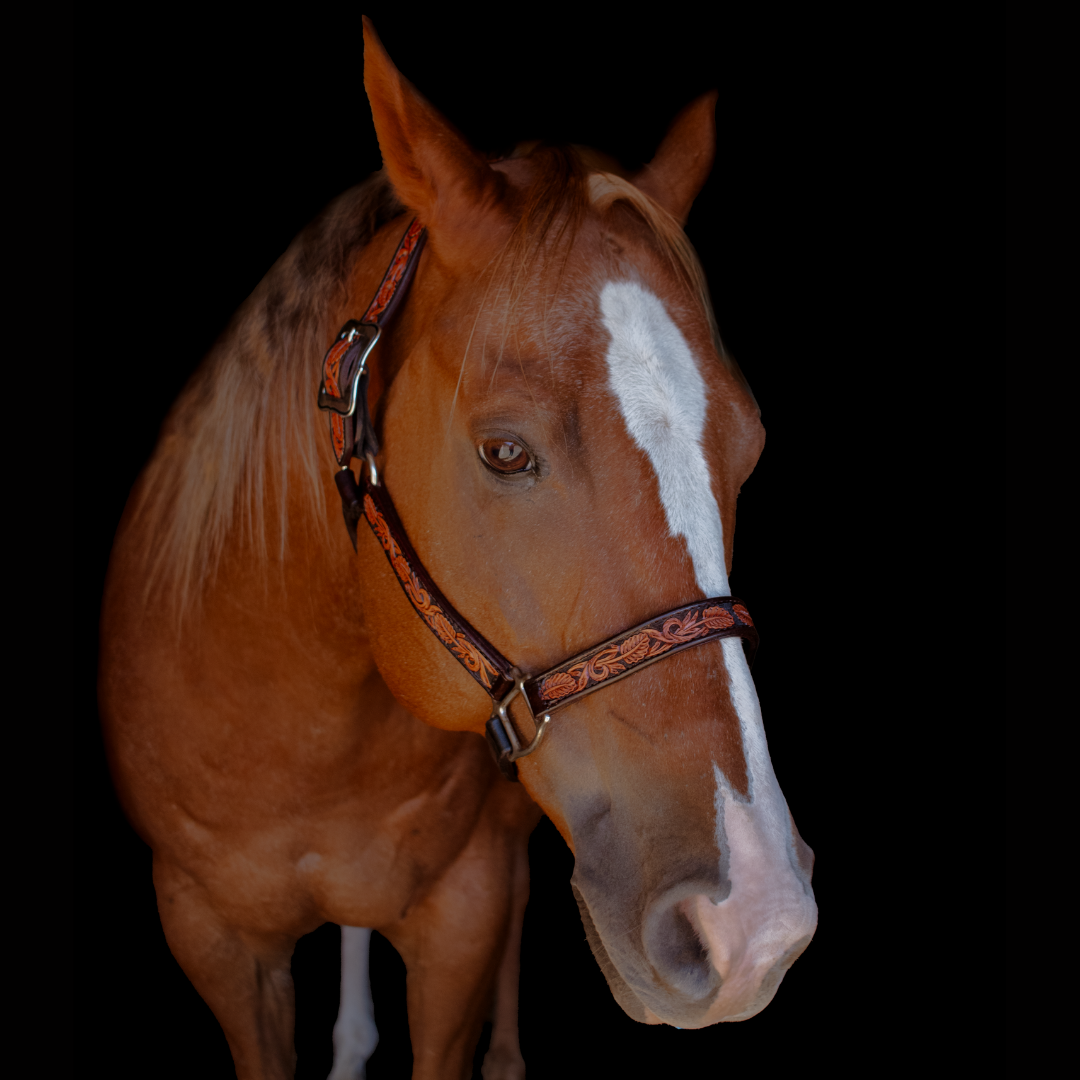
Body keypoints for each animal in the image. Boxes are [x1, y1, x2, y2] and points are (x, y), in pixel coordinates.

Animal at [99, 19, 816, 1080]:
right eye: (505, 452)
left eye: (750, 448)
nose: (753, 923)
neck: (300, 731)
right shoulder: (212, 939)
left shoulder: (461, 921)